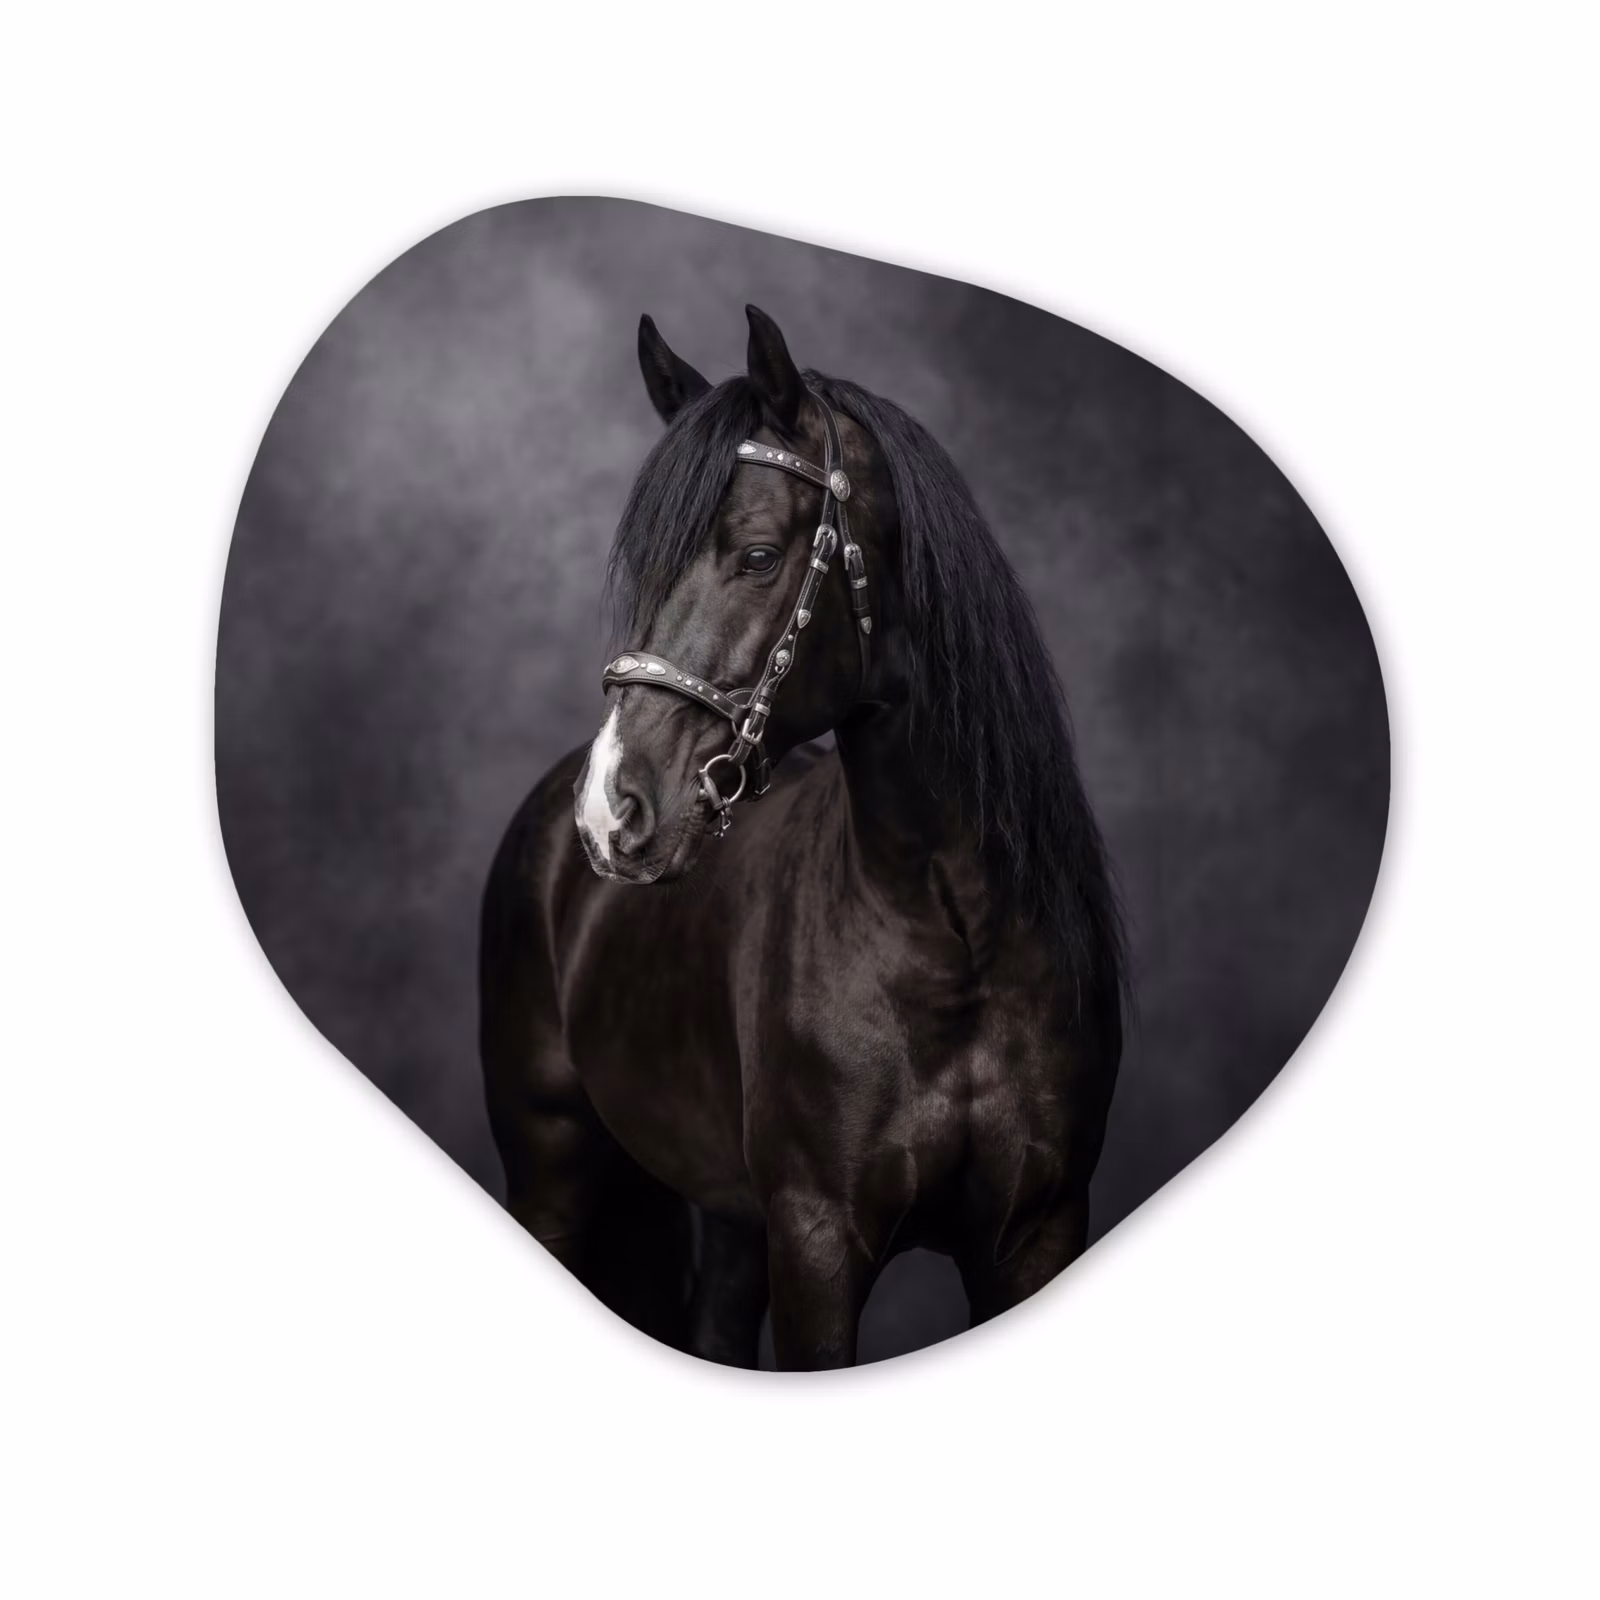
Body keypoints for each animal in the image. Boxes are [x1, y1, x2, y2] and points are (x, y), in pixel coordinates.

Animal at [479, 305, 1125, 1369]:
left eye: (755, 555)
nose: (611, 810)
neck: (954, 938)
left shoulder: (1035, 1230)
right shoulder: (818, 1238)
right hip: (554, 1173)